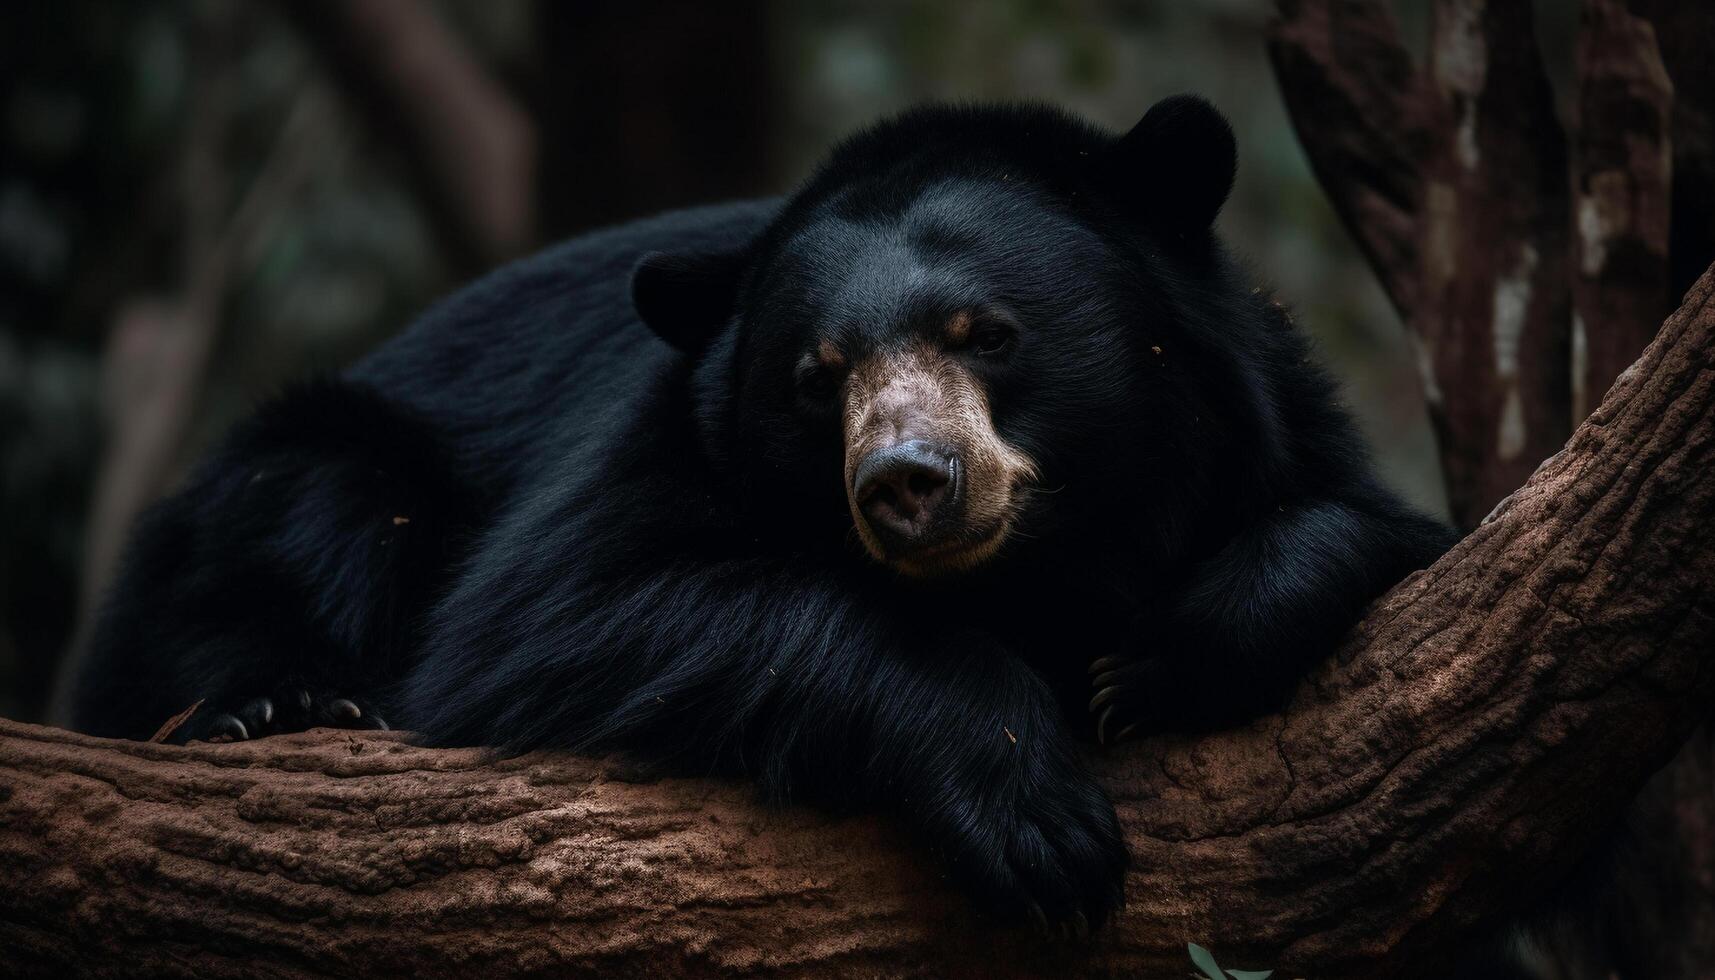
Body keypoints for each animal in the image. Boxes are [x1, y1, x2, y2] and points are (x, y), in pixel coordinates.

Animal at [73, 95, 1454, 933]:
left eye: (987, 333)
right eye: (815, 376)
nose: (905, 481)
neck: (1033, 567)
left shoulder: (1267, 416)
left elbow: (1366, 526)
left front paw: (1154, 659)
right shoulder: (643, 451)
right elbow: (557, 617)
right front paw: (1038, 823)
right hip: (287, 476)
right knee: (313, 508)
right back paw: (272, 703)